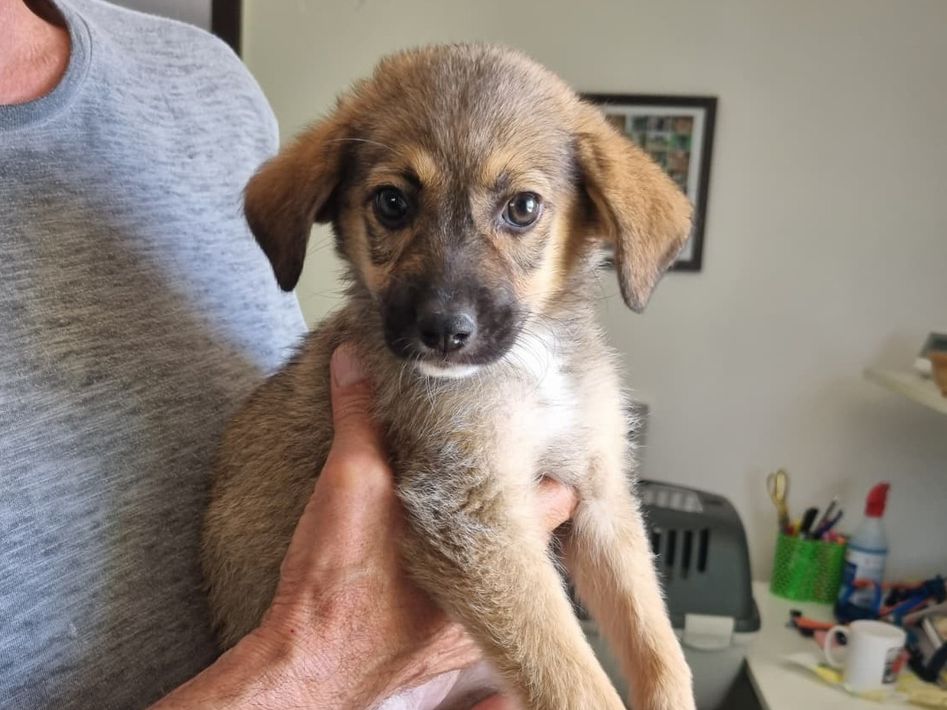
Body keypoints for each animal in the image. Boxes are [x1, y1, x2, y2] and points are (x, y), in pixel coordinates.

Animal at [202, 44, 695, 710]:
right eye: (392, 203)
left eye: (522, 207)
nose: (442, 330)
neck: (531, 369)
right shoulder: (469, 509)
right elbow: (576, 682)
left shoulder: (599, 495)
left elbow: (658, 644)